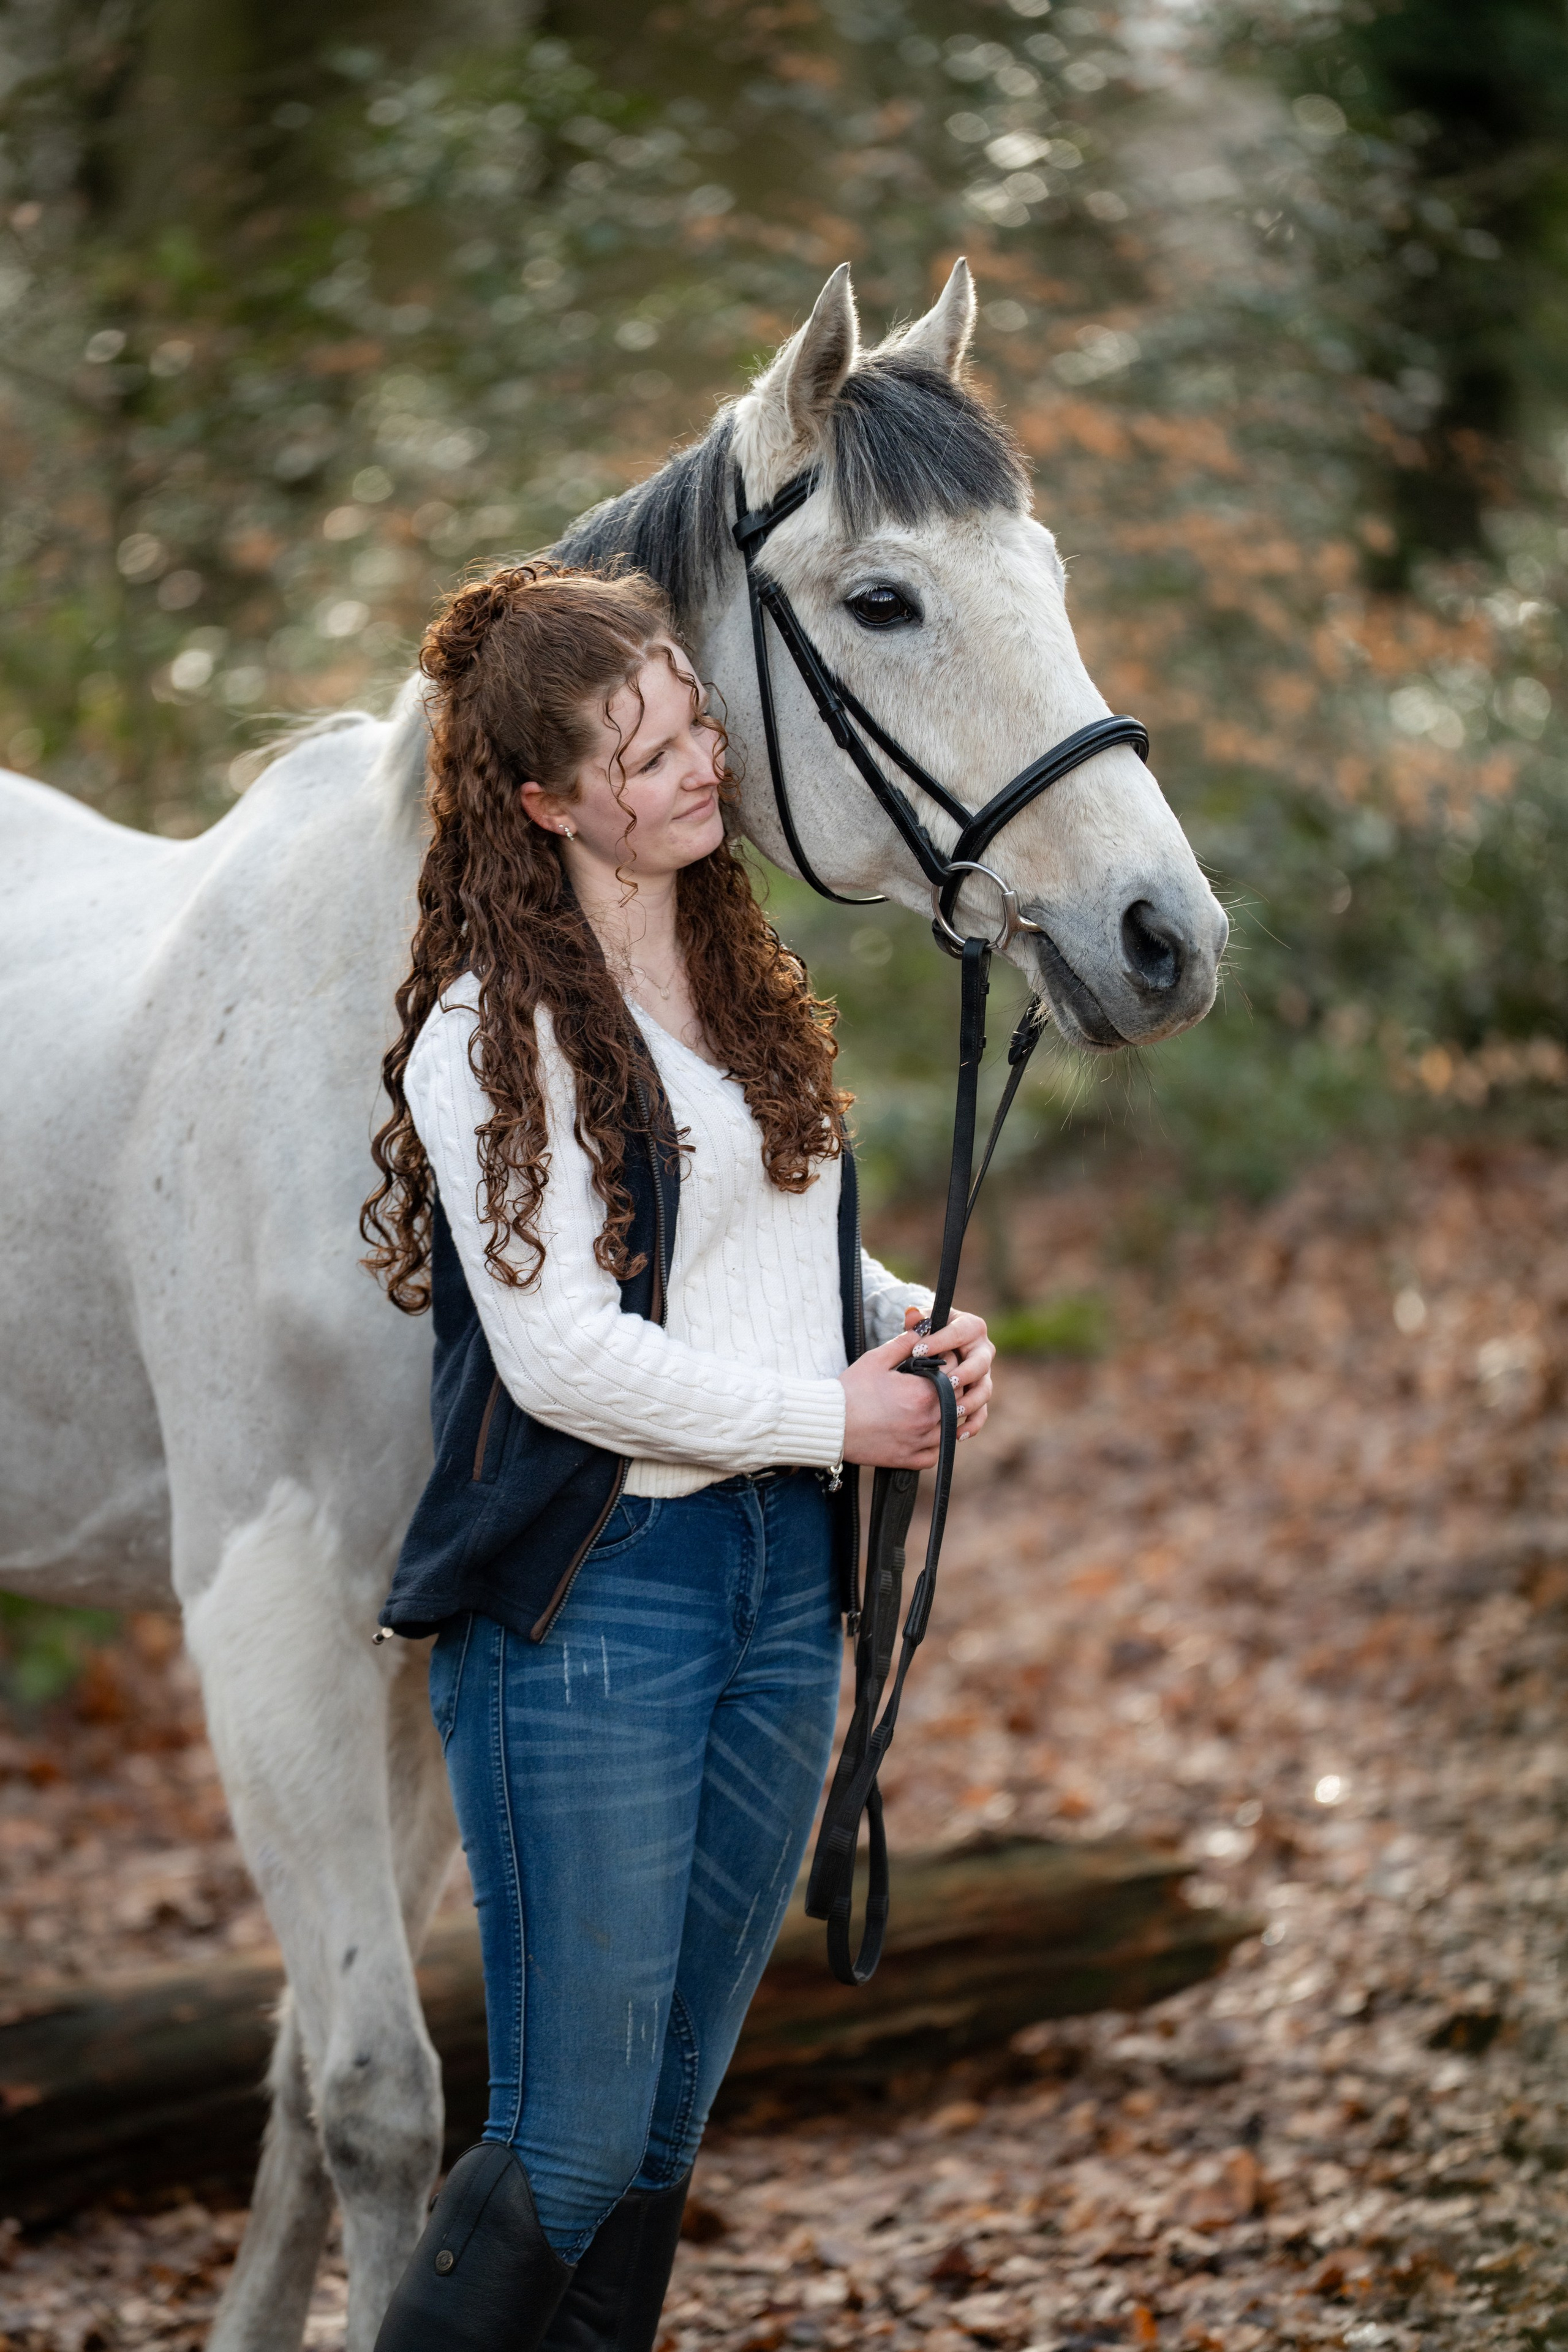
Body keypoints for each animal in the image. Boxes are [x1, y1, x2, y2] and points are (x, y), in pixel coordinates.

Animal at [0, 261, 1227, 2349]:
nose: (1168, 939)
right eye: (882, 599)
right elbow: (379, 2096)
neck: (353, 1055)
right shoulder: (264, 1614)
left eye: (1045, 565)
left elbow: (293, 2085)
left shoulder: (417, 1634)